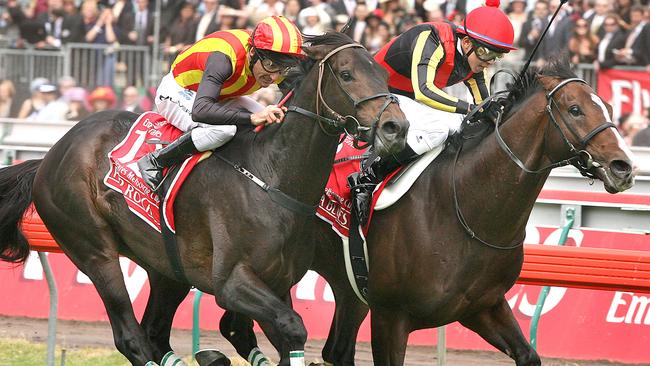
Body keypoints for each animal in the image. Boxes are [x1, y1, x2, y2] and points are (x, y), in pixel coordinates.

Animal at [0, 33, 404, 364]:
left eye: (385, 77)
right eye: (347, 75)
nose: (395, 127)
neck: (273, 177)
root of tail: (49, 155)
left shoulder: (278, 281)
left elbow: (265, 332)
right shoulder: (232, 282)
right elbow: (291, 327)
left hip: (167, 265)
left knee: (155, 332)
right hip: (93, 249)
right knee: (132, 337)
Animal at [308, 58, 632, 364]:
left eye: (609, 108)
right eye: (575, 109)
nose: (624, 167)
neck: (463, 208)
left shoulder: (482, 306)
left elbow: (528, 354)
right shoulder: (389, 315)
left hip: (349, 290)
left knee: (336, 350)